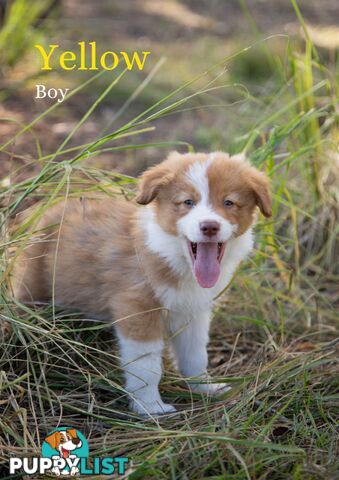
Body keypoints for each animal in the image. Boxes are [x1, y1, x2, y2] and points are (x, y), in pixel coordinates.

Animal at [13, 152, 272, 414]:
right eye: (187, 202)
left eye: (228, 203)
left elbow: (195, 354)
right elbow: (146, 367)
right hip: (33, 286)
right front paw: (151, 407)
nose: (209, 226)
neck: (171, 255)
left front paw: (205, 387)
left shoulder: (193, 312)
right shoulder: (137, 309)